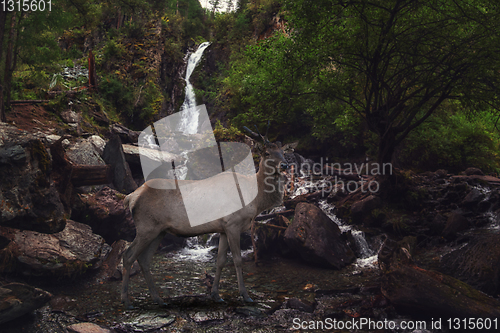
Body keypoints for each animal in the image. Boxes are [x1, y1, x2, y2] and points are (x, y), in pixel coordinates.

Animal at [120, 125, 296, 308]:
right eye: (267, 153)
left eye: (283, 152)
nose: (285, 164)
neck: (255, 200)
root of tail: (130, 197)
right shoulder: (233, 223)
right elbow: (237, 260)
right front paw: (245, 295)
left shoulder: (224, 227)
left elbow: (220, 261)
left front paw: (216, 295)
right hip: (146, 226)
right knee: (128, 255)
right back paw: (126, 300)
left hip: (159, 230)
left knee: (144, 259)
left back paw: (158, 299)